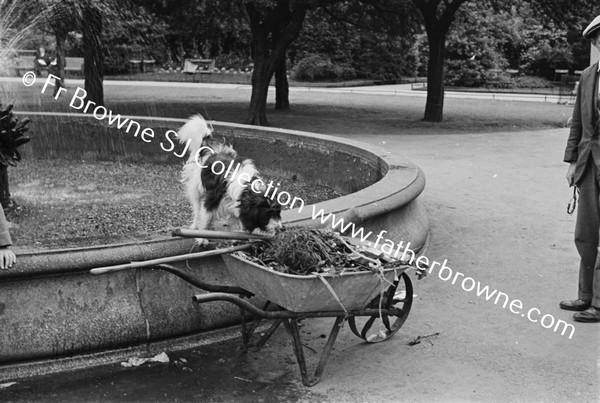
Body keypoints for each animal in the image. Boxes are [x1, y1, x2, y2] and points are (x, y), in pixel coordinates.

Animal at [177, 115, 282, 245]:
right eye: (267, 214)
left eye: (278, 212)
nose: (281, 229)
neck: (246, 188)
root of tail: (209, 145)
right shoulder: (212, 200)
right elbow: (205, 217)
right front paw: (202, 237)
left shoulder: (234, 204)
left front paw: (236, 237)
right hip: (196, 187)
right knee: (197, 208)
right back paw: (195, 225)